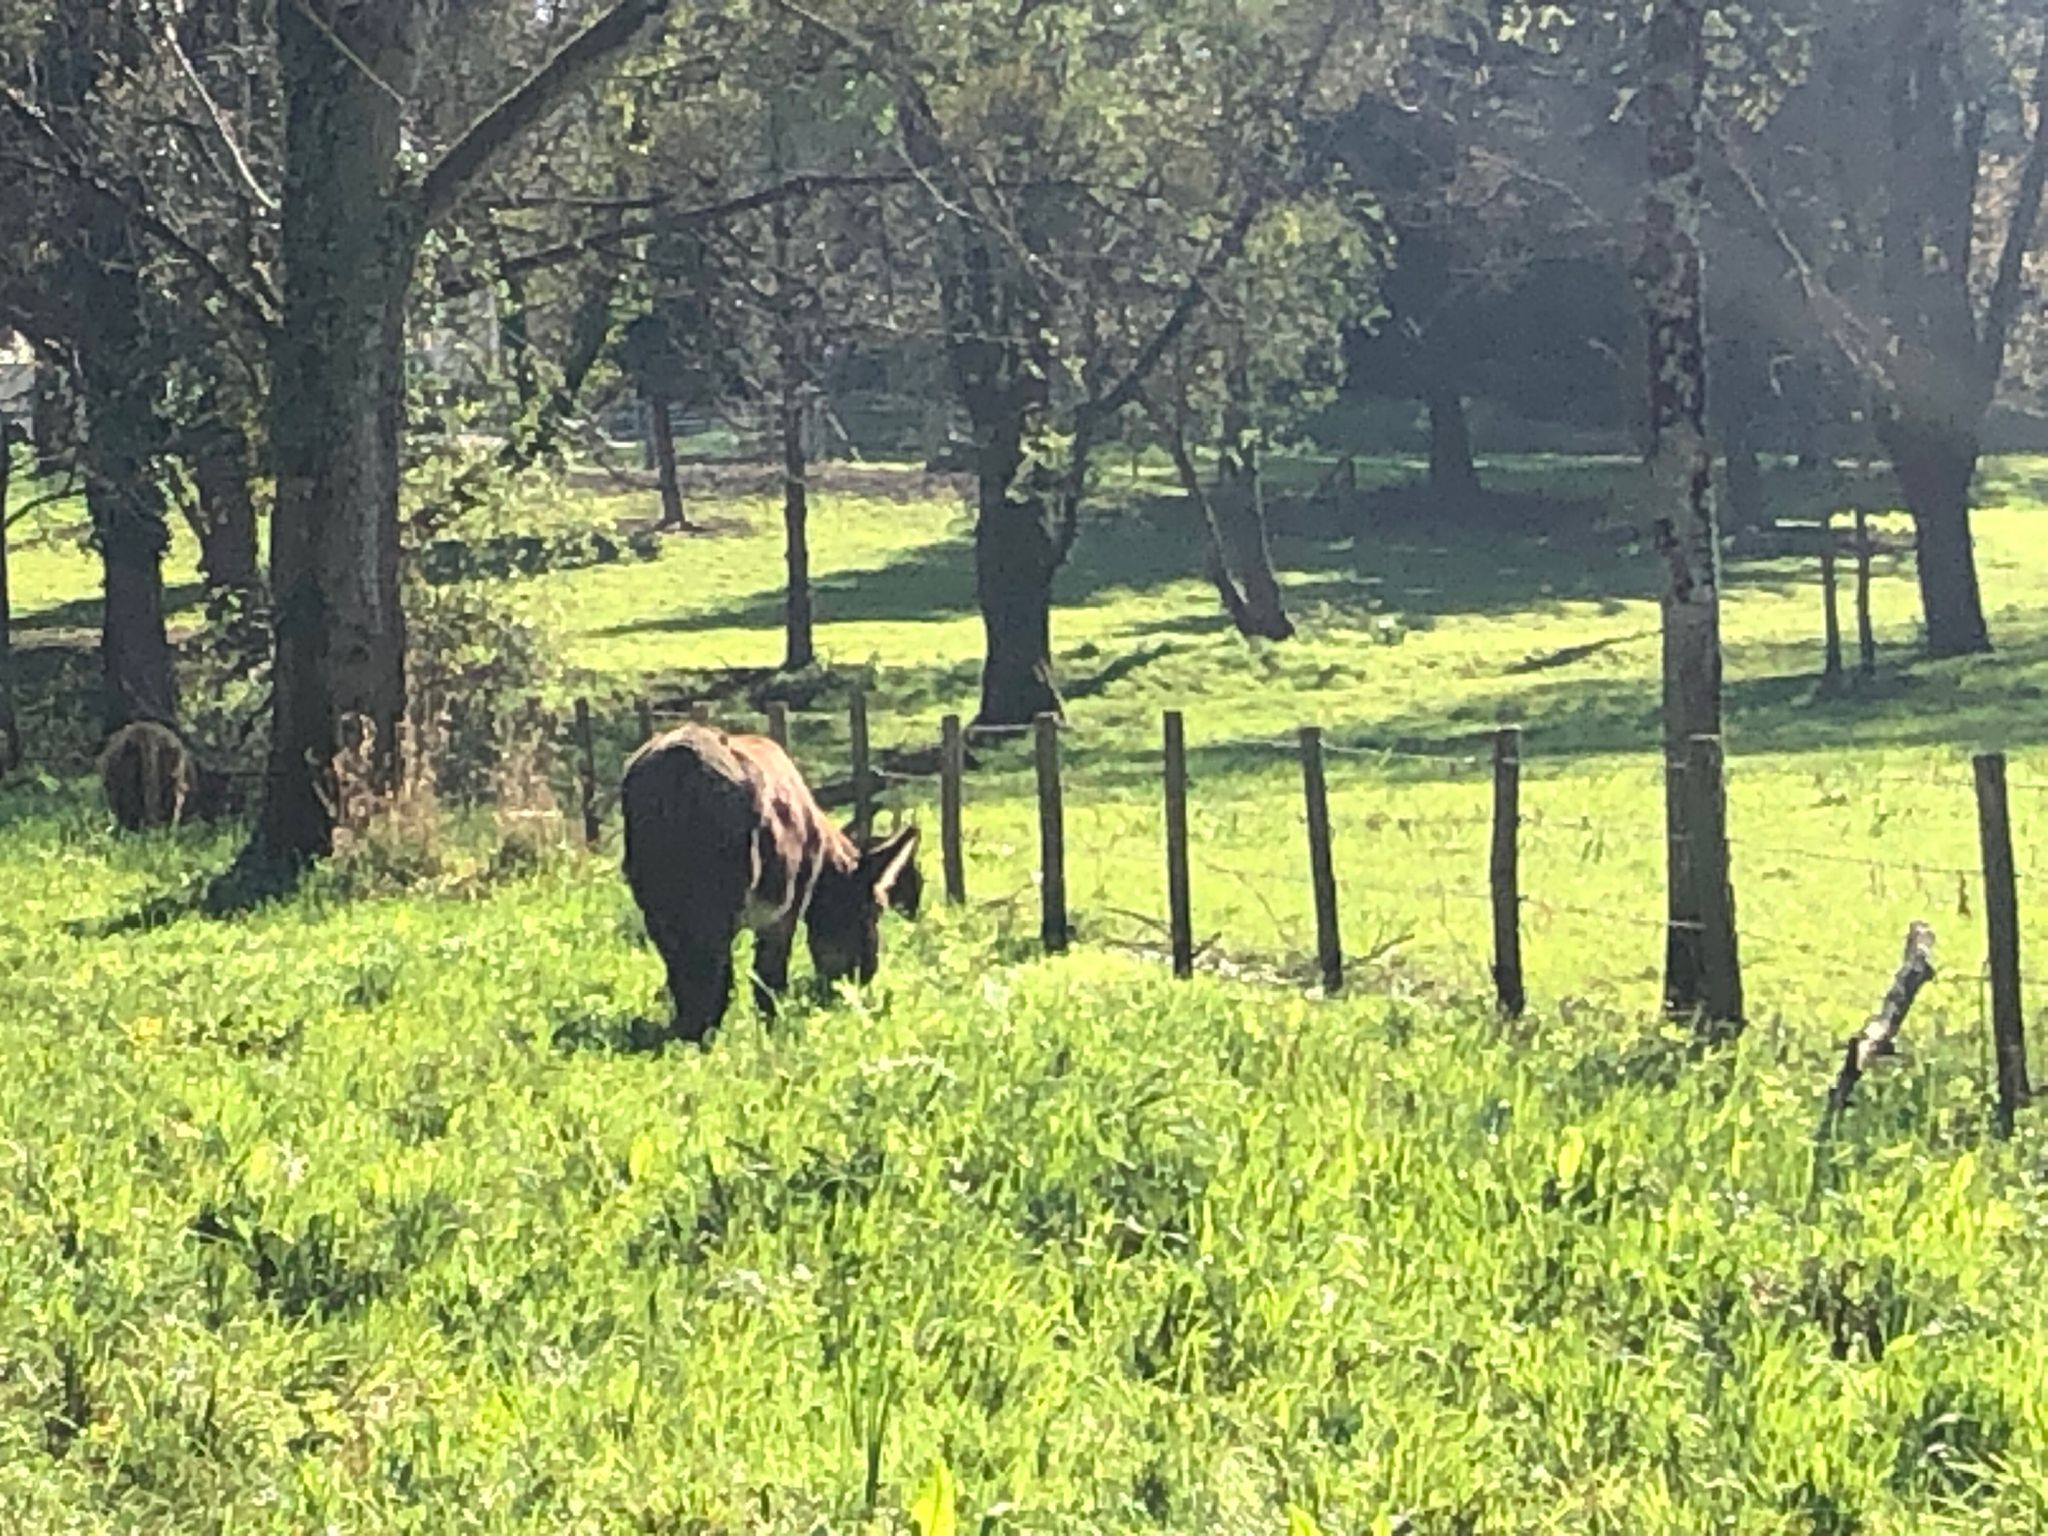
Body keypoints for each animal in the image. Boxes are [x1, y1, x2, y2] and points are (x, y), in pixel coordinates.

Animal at [621, 723, 920, 1043]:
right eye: (874, 910)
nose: (866, 973)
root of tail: (682, 763)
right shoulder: (785, 910)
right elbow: (768, 979)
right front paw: (774, 1032)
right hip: (716, 904)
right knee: (715, 974)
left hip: (659, 904)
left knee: (688, 971)